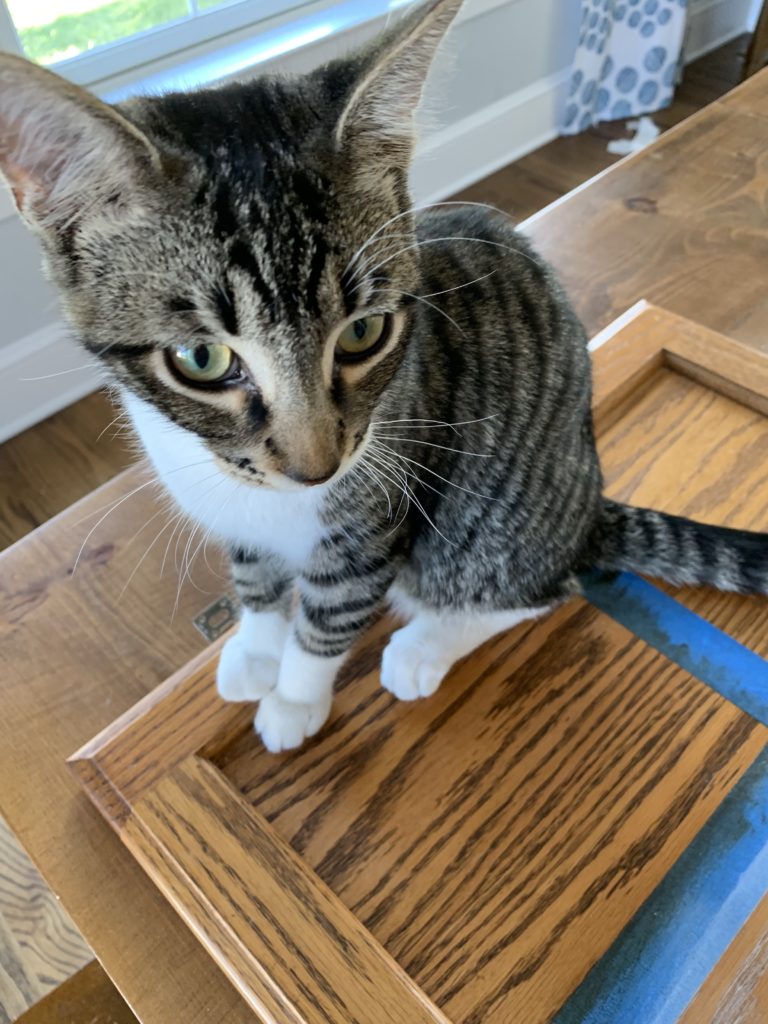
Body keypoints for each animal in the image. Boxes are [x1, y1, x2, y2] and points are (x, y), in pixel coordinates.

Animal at [3, 0, 765, 753]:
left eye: (363, 333)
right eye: (201, 360)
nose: (316, 468)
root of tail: (588, 505)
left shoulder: (375, 518)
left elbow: (331, 613)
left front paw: (293, 699)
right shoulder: (238, 508)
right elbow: (255, 576)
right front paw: (254, 647)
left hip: (484, 523)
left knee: (536, 586)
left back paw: (424, 647)